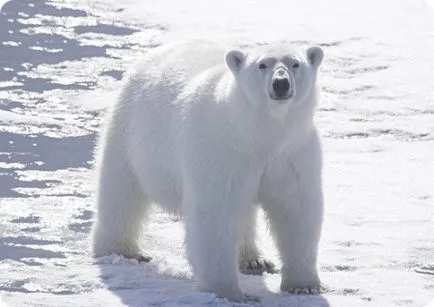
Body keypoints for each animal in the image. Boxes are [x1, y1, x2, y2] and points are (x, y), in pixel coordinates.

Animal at [91, 40, 324, 304]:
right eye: (262, 64)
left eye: (295, 63)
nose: (281, 83)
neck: (257, 133)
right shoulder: (222, 150)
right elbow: (216, 211)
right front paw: (229, 292)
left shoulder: (292, 151)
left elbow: (295, 208)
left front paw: (303, 286)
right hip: (129, 131)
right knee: (121, 192)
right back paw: (123, 250)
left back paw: (254, 260)